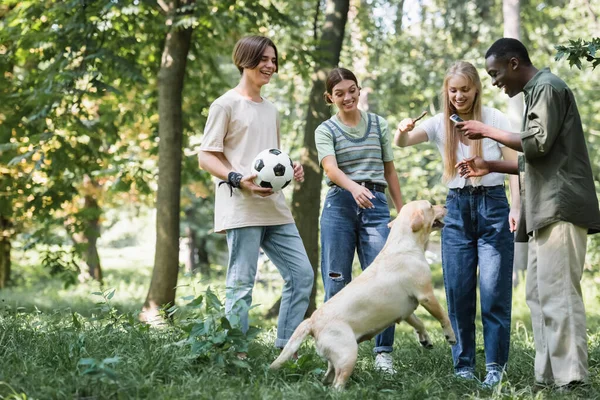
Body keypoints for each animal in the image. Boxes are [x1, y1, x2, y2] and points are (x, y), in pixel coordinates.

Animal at [272, 202, 454, 390]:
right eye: (431, 206)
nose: (445, 205)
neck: (403, 243)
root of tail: (312, 321)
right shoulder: (426, 296)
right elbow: (444, 316)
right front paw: (451, 336)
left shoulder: (406, 310)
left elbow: (419, 323)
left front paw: (425, 339)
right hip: (349, 354)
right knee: (337, 384)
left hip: (337, 357)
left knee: (328, 377)